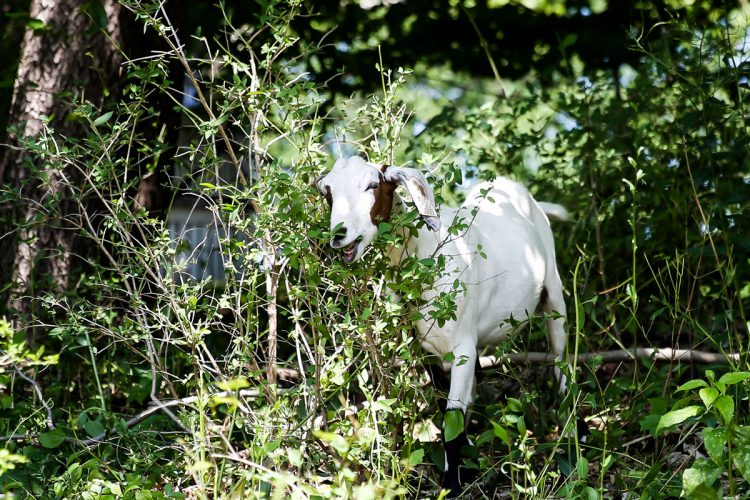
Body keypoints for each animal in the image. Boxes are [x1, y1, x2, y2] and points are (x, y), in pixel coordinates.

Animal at [318, 157, 568, 496]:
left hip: (554, 293)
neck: (429, 254)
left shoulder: (462, 348)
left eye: (372, 185)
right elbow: (443, 409)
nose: (338, 234)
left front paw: (450, 486)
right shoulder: (425, 348)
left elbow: (451, 418)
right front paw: (465, 464)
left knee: (561, 361)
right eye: (328, 192)